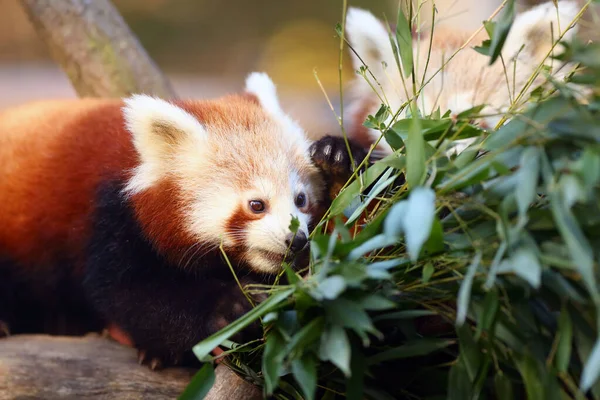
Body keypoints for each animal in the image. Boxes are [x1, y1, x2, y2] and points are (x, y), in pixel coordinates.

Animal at [0, 72, 366, 368]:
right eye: (256, 205)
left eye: (301, 200)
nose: (296, 240)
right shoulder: (110, 219)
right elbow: (133, 293)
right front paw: (232, 305)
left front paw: (339, 161)